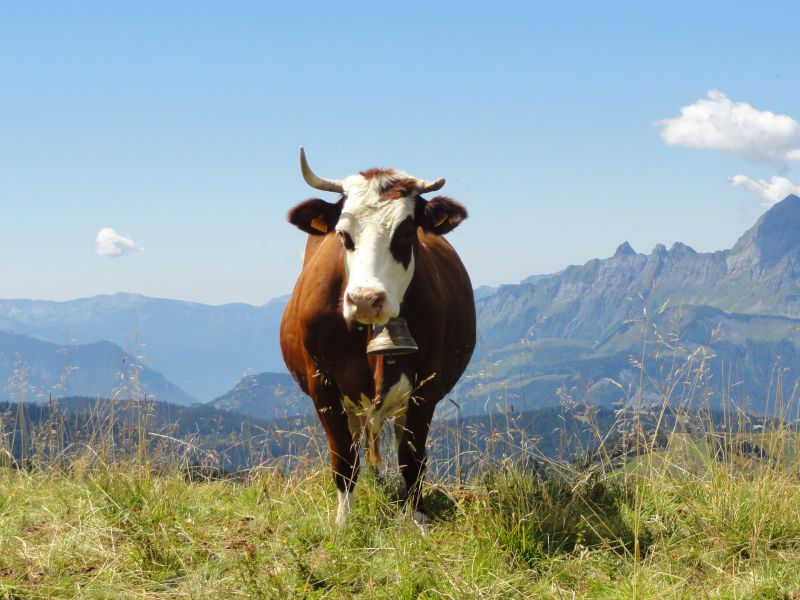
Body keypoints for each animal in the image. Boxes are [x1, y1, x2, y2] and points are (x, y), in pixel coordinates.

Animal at [282, 149, 476, 524]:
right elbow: (344, 461)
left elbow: (412, 459)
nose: (365, 299)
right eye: (343, 235)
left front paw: (417, 520)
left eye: (406, 233)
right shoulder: (321, 382)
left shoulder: (426, 384)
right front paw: (342, 524)